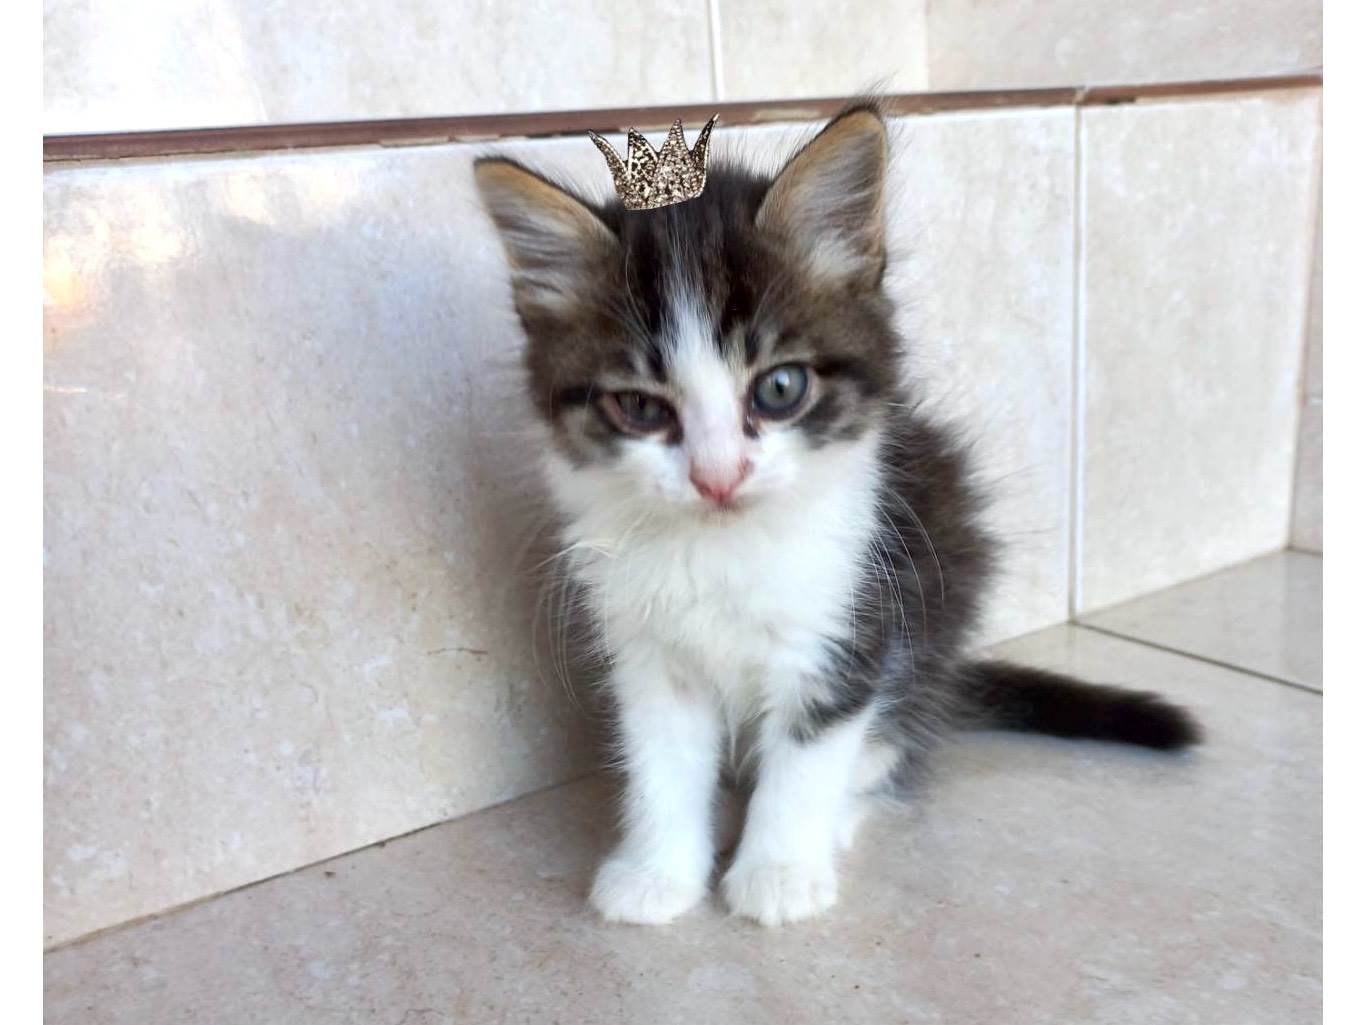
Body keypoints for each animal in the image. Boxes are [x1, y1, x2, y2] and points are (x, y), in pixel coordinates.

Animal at [474, 103, 1200, 928]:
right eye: (638, 406)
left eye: (780, 388)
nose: (717, 476)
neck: (723, 548)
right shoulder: (648, 652)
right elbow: (662, 762)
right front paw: (658, 873)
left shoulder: (852, 619)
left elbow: (807, 758)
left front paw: (779, 871)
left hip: (939, 594)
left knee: (894, 743)